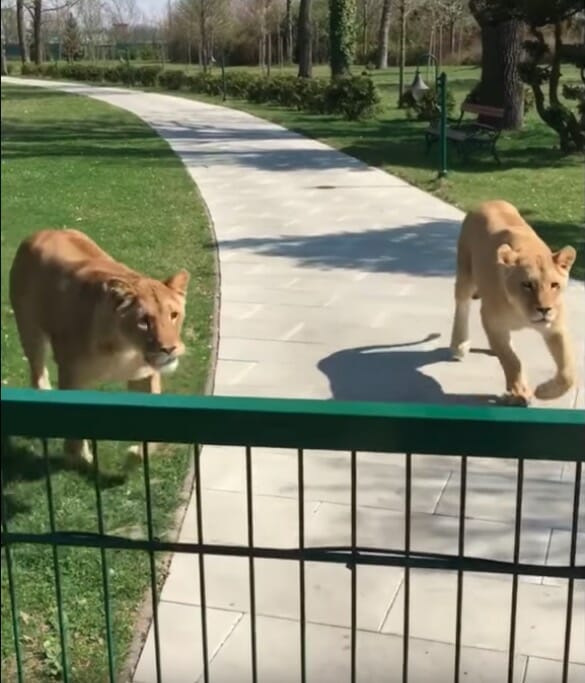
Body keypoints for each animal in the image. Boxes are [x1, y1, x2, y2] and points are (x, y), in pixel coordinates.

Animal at [9, 228, 190, 462]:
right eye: (143, 321)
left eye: (174, 315)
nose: (169, 349)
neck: (127, 349)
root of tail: (44, 231)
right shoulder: (71, 375)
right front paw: (79, 457)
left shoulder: (144, 376)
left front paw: (136, 456)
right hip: (30, 331)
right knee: (38, 374)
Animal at [449, 200, 577, 406]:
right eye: (527, 285)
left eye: (554, 285)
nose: (544, 310)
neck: (521, 312)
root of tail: (489, 201)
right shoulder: (491, 321)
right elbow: (511, 360)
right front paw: (520, 391)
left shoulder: (555, 327)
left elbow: (568, 372)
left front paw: (544, 391)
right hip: (465, 272)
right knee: (462, 305)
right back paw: (459, 345)